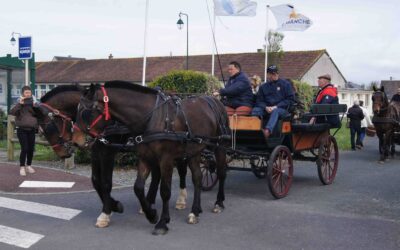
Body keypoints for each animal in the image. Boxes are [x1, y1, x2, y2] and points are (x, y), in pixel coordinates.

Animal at [71, 81, 228, 234]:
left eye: (85, 112)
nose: (76, 140)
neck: (152, 118)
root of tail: (214, 100)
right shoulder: (144, 157)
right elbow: (138, 187)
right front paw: (151, 215)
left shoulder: (165, 159)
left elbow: (165, 191)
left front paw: (162, 222)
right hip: (194, 152)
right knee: (197, 177)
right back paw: (195, 211)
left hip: (220, 147)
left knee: (221, 173)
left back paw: (218, 203)